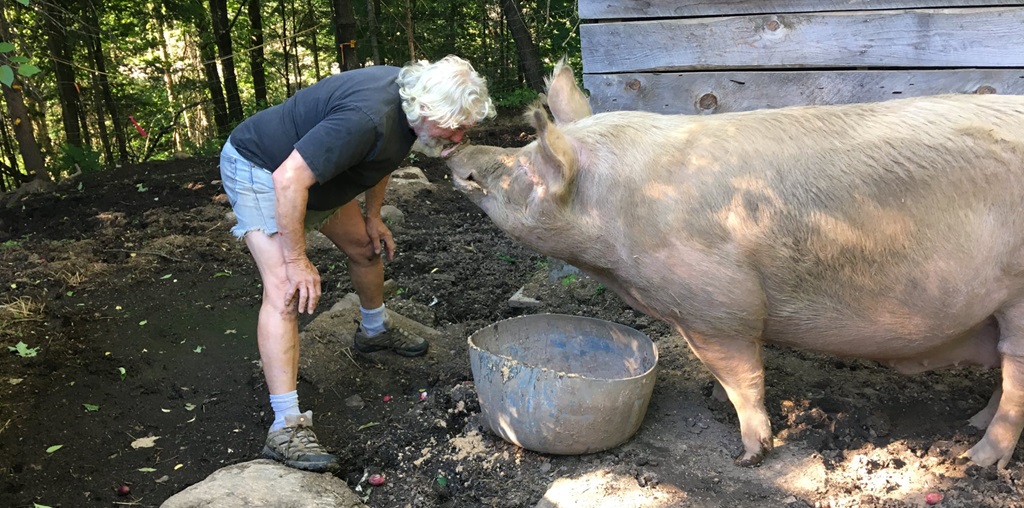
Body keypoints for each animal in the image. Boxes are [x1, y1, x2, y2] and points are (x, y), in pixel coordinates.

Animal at [446, 60, 1024, 469]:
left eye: (525, 168)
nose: (459, 158)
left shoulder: (717, 307)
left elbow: (742, 378)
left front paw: (749, 455)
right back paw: (971, 425)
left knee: (1014, 378)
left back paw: (976, 460)